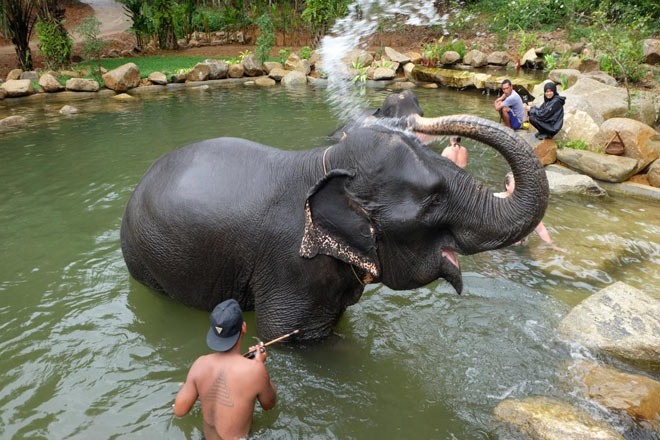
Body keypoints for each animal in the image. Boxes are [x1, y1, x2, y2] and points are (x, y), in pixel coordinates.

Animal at [120, 114, 548, 341]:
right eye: (433, 201)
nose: (414, 118)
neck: (324, 162)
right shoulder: (290, 266)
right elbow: (291, 337)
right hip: (146, 260)